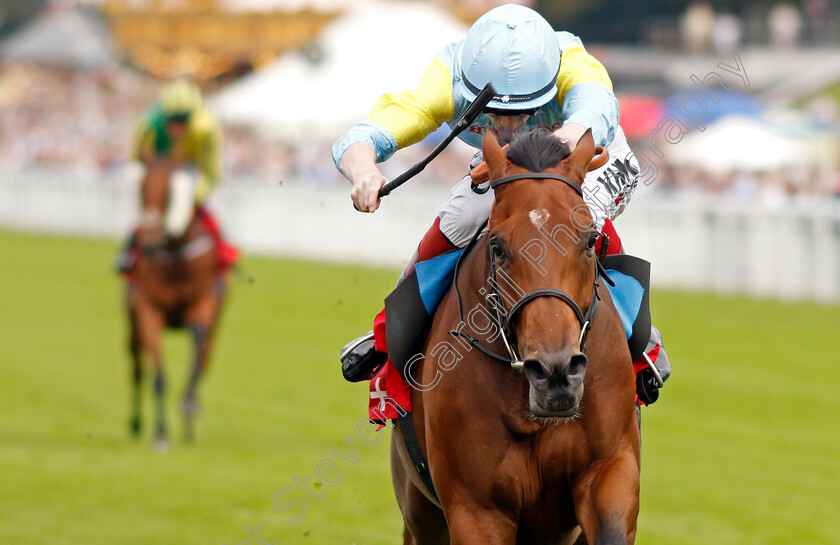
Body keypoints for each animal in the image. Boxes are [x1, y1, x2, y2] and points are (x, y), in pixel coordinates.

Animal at [125, 160, 228, 446]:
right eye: (141, 189)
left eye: (169, 194)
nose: (149, 242)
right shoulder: (148, 310)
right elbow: (158, 375)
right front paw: (161, 433)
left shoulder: (203, 306)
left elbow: (197, 352)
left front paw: (189, 406)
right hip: (132, 323)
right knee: (137, 368)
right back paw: (136, 423)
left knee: (204, 359)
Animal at [390, 131, 640, 544]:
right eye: (497, 246)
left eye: (590, 241)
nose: (556, 372)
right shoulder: (476, 509)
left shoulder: (610, 470)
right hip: (418, 506)